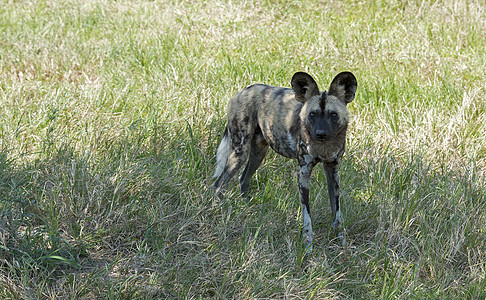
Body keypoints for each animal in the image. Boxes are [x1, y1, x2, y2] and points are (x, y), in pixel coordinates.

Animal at [213, 72, 356, 251]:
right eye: (313, 114)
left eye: (333, 114)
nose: (320, 133)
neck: (324, 148)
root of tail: (241, 92)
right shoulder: (303, 173)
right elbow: (307, 216)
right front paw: (308, 246)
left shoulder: (333, 171)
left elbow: (336, 213)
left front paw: (341, 242)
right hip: (240, 152)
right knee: (219, 184)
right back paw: (219, 211)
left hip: (259, 152)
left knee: (243, 179)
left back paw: (247, 209)